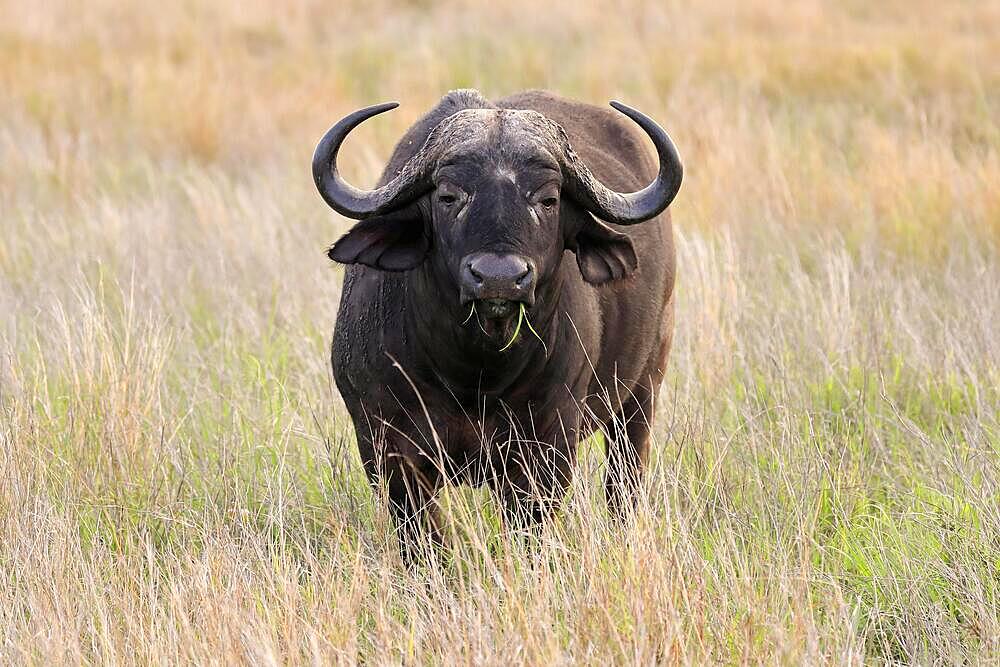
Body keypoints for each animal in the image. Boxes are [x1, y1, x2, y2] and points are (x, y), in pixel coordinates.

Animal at [314, 90, 680, 560]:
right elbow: (422, 539)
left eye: (548, 199)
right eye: (449, 196)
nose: (499, 278)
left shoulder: (546, 447)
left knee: (624, 481)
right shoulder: (387, 445)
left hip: (641, 396)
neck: (474, 374)